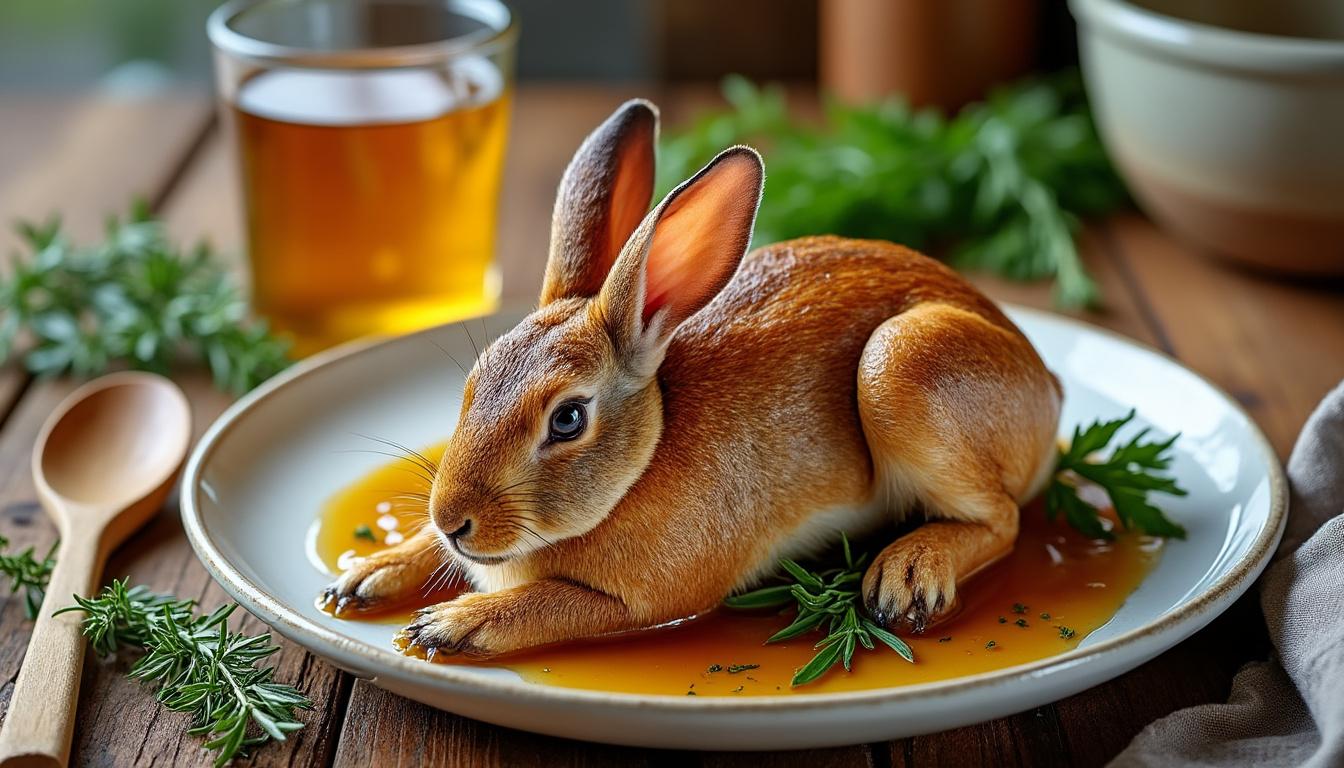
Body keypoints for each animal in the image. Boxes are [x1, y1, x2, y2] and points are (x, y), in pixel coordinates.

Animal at [319, 99, 1062, 659]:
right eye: (471, 385)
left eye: (568, 419)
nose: (453, 521)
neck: (641, 461)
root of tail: (1045, 386)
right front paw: (371, 575)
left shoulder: (641, 599)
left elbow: (547, 604)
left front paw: (452, 623)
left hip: (903, 366)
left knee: (1000, 521)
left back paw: (907, 574)